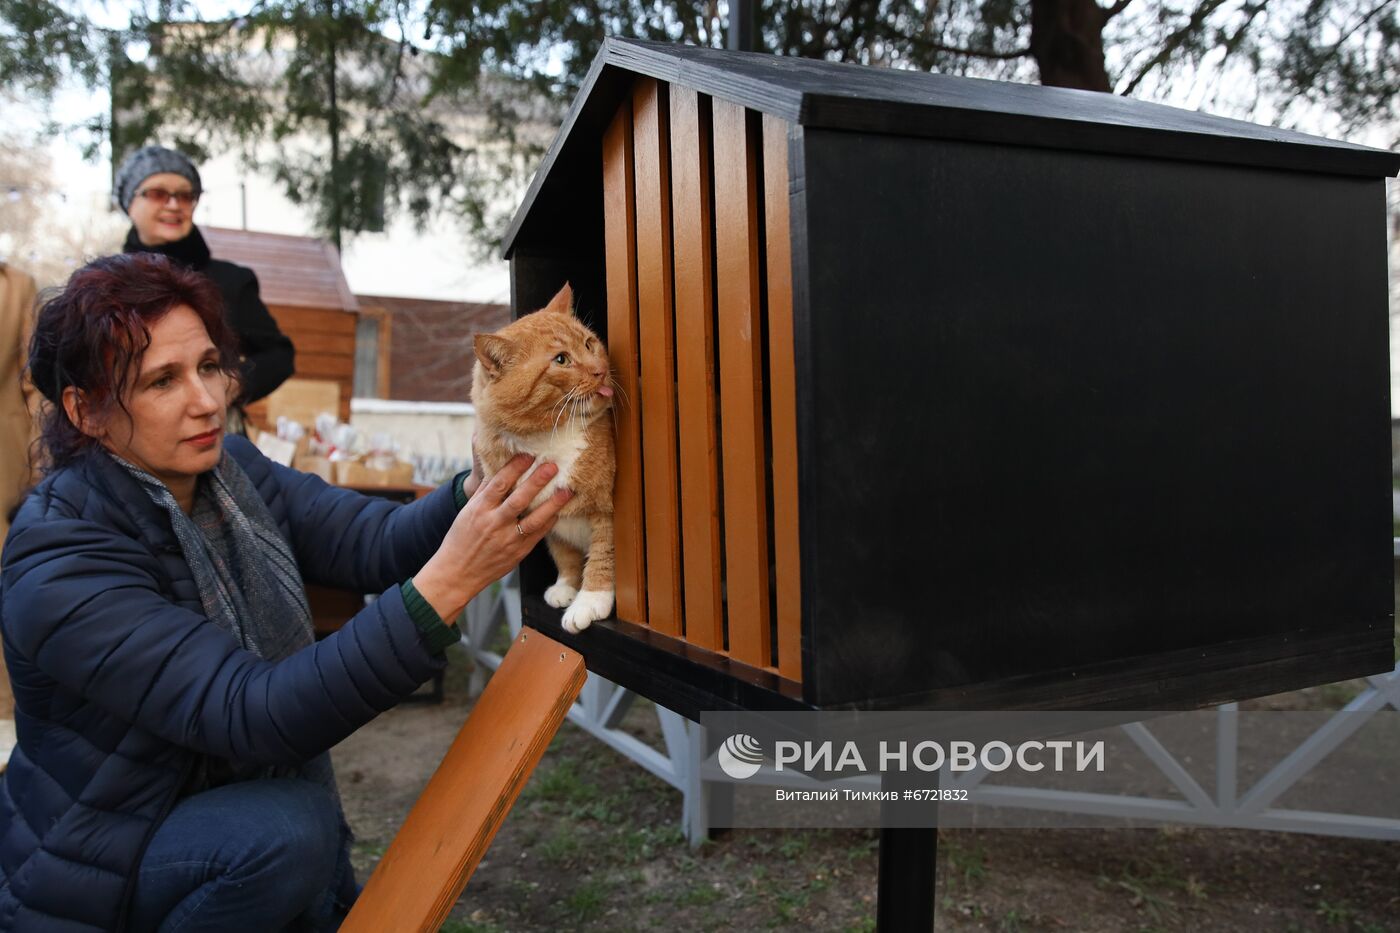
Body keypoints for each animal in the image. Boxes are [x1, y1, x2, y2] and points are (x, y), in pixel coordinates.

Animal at [470, 282, 613, 633]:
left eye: (589, 343)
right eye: (561, 359)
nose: (601, 371)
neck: (548, 438)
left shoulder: (608, 510)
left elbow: (604, 553)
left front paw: (589, 601)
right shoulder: (550, 522)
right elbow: (565, 555)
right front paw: (566, 587)